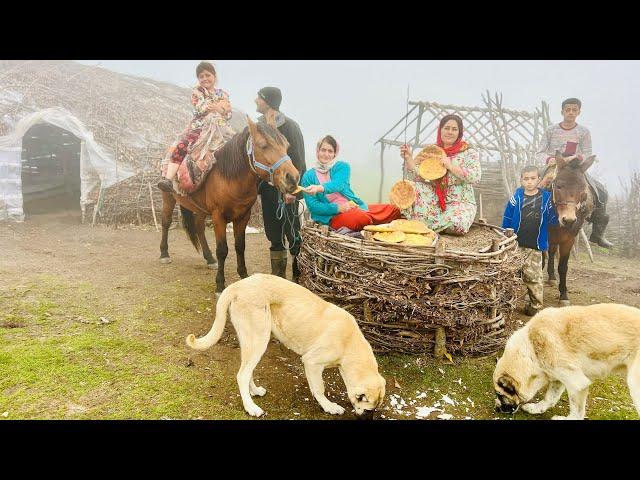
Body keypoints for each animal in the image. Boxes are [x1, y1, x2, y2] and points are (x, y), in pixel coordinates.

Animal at [160, 117, 300, 292]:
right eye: (263, 145)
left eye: (287, 146)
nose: (293, 178)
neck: (229, 178)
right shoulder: (218, 216)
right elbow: (222, 250)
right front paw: (220, 284)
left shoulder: (243, 217)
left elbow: (240, 246)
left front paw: (243, 276)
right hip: (168, 197)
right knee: (166, 222)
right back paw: (164, 254)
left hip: (201, 209)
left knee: (199, 228)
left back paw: (209, 258)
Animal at [185, 274, 384, 416]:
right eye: (368, 410)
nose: (366, 416)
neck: (350, 345)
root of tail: (238, 285)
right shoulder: (311, 362)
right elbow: (319, 389)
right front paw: (329, 407)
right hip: (259, 340)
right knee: (242, 375)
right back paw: (251, 407)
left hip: (251, 341)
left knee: (247, 371)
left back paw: (254, 391)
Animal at [496, 304, 640, 420]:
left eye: (500, 395)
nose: (497, 409)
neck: (530, 350)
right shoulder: (558, 377)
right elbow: (550, 397)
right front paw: (536, 409)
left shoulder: (577, 383)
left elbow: (577, 411)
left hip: (634, 385)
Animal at [544, 152, 596, 306]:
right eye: (558, 186)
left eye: (583, 189)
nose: (569, 220)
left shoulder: (568, 240)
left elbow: (563, 267)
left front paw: (564, 295)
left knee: (552, 253)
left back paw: (552, 277)